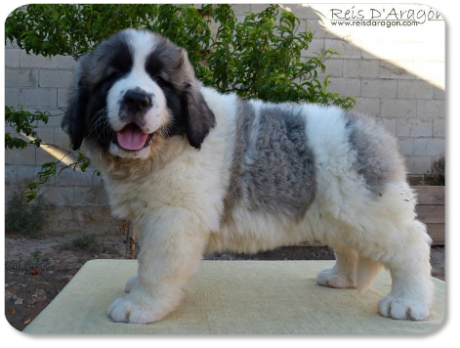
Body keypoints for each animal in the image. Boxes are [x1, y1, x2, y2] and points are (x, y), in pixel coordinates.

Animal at [63, 29, 434, 324]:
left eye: (162, 82)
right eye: (112, 76)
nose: (137, 98)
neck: (167, 148)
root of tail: (372, 130)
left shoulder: (173, 219)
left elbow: (157, 265)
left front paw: (140, 305)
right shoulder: (148, 215)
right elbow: (145, 260)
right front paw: (136, 287)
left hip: (368, 209)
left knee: (410, 243)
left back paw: (408, 302)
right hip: (342, 213)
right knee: (348, 246)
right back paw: (341, 277)